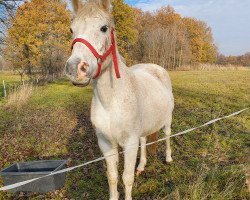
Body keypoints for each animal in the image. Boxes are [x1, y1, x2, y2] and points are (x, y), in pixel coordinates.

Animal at [66, 0, 175, 199]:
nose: (75, 69)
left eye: (104, 28)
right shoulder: (106, 144)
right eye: (72, 29)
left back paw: (169, 158)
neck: (112, 101)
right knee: (144, 141)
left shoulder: (129, 144)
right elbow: (112, 176)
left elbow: (127, 178)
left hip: (167, 120)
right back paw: (142, 166)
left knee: (168, 135)